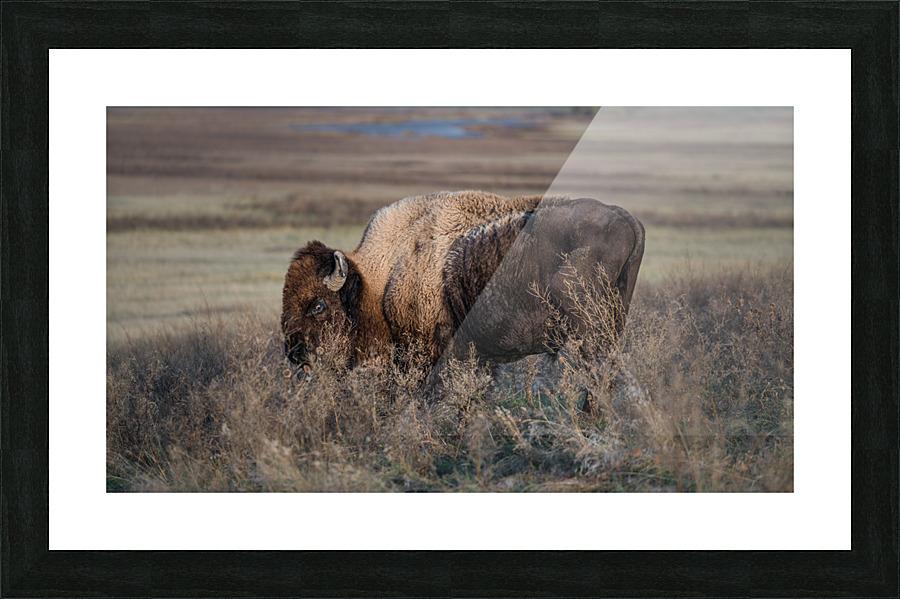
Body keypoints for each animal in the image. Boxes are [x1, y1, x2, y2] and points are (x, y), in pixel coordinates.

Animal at [281, 190, 644, 384]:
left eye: (317, 304)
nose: (294, 353)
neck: (383, 275)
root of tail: (626, 219)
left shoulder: (427, 352)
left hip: (591, 330)